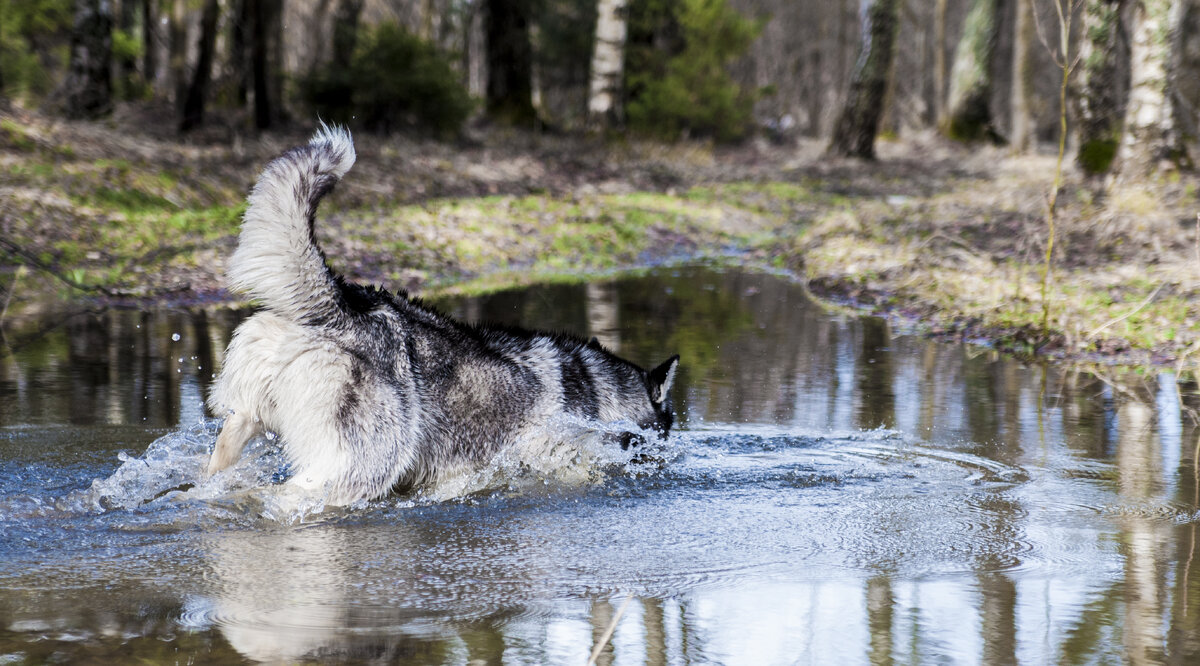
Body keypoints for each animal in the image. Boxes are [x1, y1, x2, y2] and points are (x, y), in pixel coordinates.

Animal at [205, 126, 676, 506]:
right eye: (659, 438)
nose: (663, 464)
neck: (599, 395)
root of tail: (342, 300)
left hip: (242, 421)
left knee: (213, 474)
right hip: (358, 469)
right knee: (279, 496)